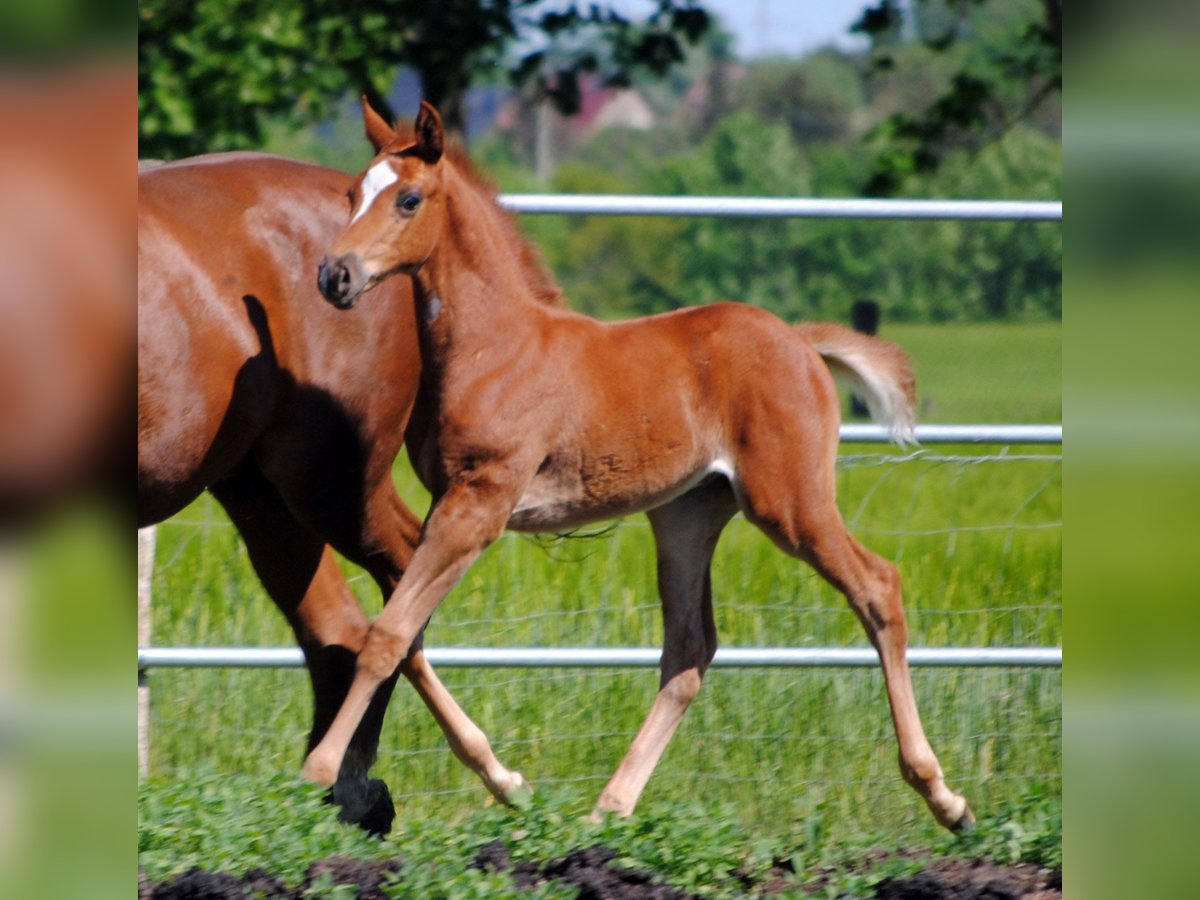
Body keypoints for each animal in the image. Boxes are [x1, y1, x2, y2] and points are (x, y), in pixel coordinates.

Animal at [137, 152, 533, 832]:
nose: (336, 276)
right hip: (262, 494)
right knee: (342, 630)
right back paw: (343, 794)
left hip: (328, 485)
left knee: (399, 587)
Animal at [304, 100, 974, 832]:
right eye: (352, 194)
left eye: (408, 199)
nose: (334, 276)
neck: (494, 346)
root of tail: (800, 341)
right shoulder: (447, 503)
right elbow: (407, 635)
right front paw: (505, 781)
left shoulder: (480, 501)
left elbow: (389, 633)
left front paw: (319, 771)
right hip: (689, 513)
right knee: (689, 650)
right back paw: (608, 809)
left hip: (789, 502)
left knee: (877, 587)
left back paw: (945, 797)